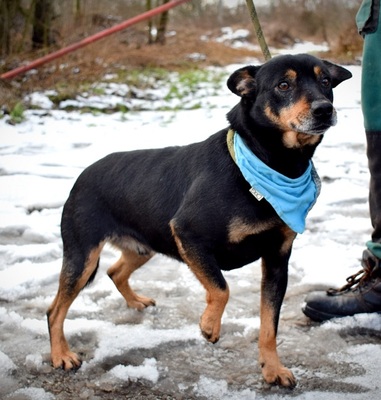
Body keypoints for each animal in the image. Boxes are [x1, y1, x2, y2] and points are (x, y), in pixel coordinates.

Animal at [46, 54, 350, 388]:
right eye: (284, 85)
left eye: (325, 81)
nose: (324, 108)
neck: (270, 163)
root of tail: (82, 176)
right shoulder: (188, 234)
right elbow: (221, 288)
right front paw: (209, 326)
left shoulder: (277, 260)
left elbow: (269, 325)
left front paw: (272, 369)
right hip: (83, 256)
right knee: (54, 310)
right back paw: (61, 355)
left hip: (143, 246)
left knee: (115, 271)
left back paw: (135, 302)